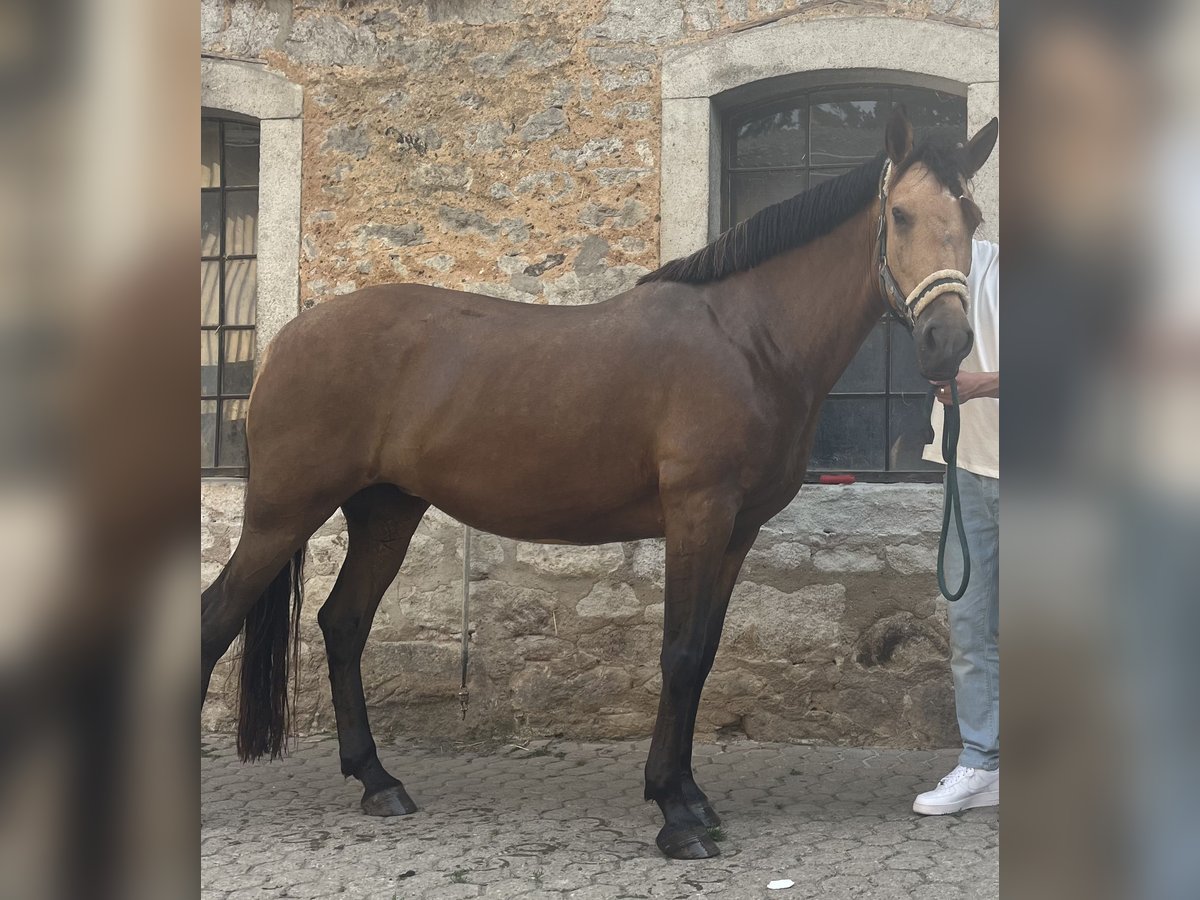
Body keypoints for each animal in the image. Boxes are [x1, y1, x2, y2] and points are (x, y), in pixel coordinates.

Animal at [201, 109, 998, 864]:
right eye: (900, 214)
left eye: (973, 218)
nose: (948, 343)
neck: (747, 341)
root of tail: (285, 340)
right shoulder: (698, 514)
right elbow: (680, 652)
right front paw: (677, 817)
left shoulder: (737, 531)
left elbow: (703, 654)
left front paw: (689, 795)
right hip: (282, 514)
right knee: (216, 619)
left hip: (386, 512)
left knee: (343, 624)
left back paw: (378, 782)